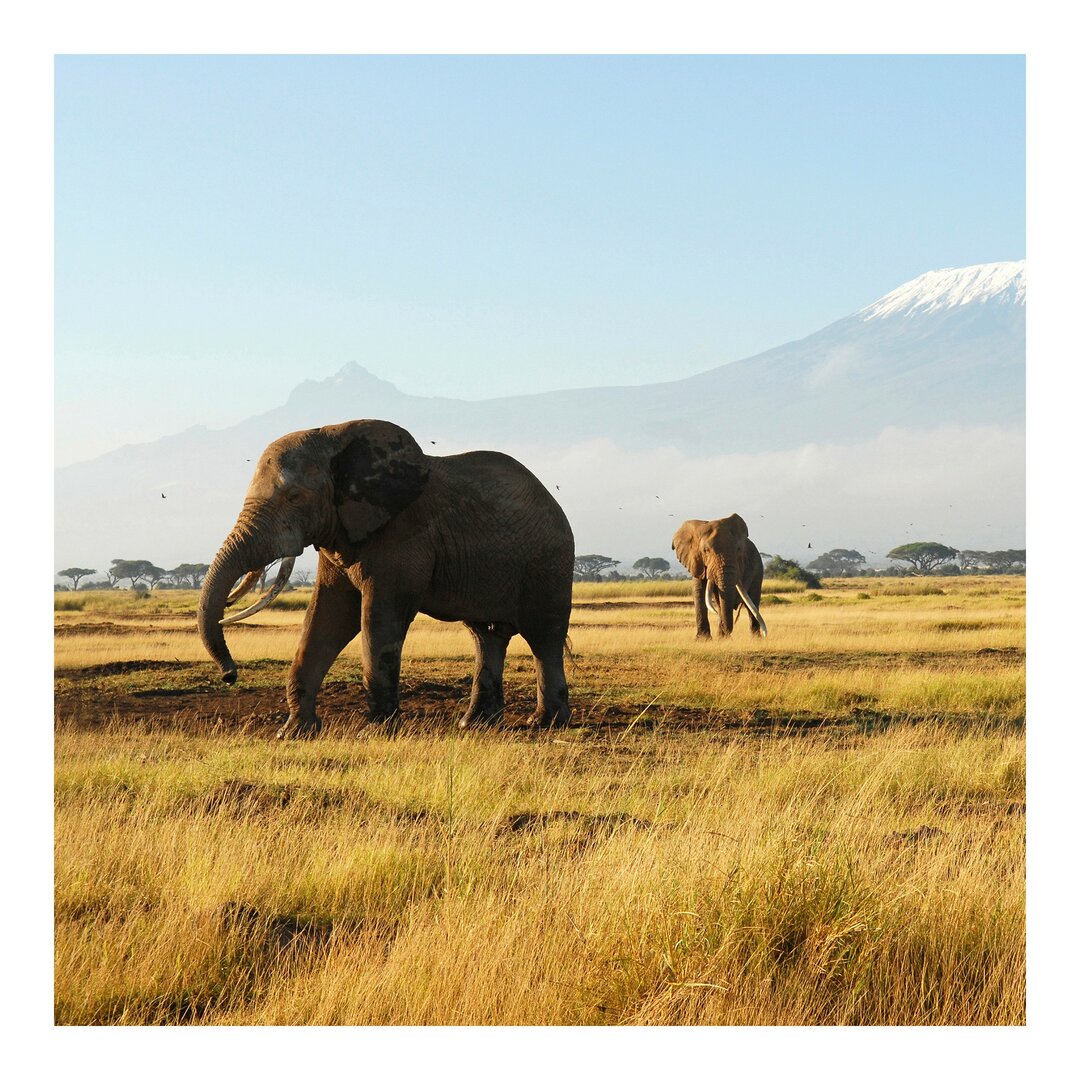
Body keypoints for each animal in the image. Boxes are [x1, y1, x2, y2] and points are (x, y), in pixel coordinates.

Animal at [199, 416, 578, 738]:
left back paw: (545, 723)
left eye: (294, 497)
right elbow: (327, 617)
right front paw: (294, 732)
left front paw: (376, 731)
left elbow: (378, 618)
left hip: (549, 562)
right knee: (486, 636)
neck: (334, 438)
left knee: (543, 637)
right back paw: (474, 724)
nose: (230, 675)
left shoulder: (402, 534)